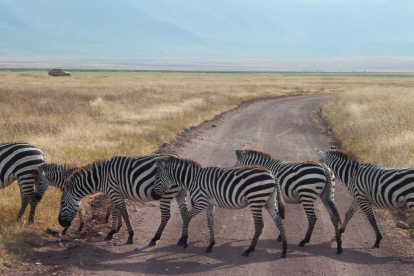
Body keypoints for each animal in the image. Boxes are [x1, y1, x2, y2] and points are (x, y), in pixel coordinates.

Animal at [57, 154, 188, 245]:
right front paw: (112, 231)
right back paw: (182, 239)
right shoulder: (115, 193)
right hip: (180, 193)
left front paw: (130, 236)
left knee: (166, 216)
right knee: (185, 214)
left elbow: (124, 213)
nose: (60, 223)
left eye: (62, 202)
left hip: (166, 193)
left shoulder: (114, 193)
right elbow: (115, 211)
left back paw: (155, 238)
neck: (101, 177)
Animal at [152, 154, 288, 258]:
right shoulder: (209, 205)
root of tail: (271, 173)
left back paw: (249, 250)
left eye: (157, 177)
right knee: (279, 220)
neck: (192, 179)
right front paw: (211, 245)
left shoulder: (201, 202)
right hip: (269, 201)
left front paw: (185, 241)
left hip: (256, 200)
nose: (154, 195)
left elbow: (186, 217)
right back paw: (284, 249)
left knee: (259, 225)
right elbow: (210, 223)